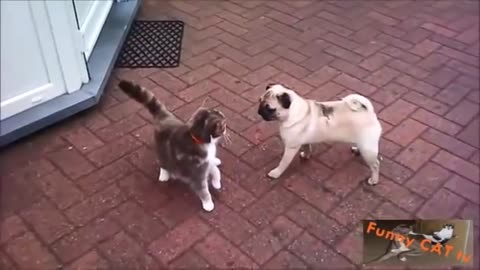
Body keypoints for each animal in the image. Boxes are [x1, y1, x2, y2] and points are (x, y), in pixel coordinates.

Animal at [118, 79, 227, 212]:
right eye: (223, 126)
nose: (226, 128)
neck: (199, 140)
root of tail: (165, 118)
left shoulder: (205, 162)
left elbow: (215, 170)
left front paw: (216, 182)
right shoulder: (197, 172)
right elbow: (203, 190)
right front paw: (208, 204)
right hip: (161, 149)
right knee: (163, 162)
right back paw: (164, 175)